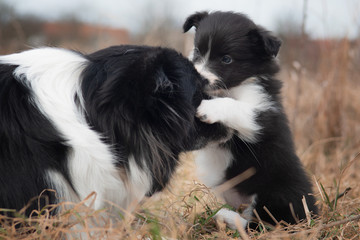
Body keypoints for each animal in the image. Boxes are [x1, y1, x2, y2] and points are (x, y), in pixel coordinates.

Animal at [184, 12, 316, 230]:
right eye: (197, 51)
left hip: (275, 194)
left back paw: (226, 216)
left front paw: (209, 107)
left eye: (226, 59)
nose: (198, 79)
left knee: (262, 224)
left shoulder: (262, 118)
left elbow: (236, 106)